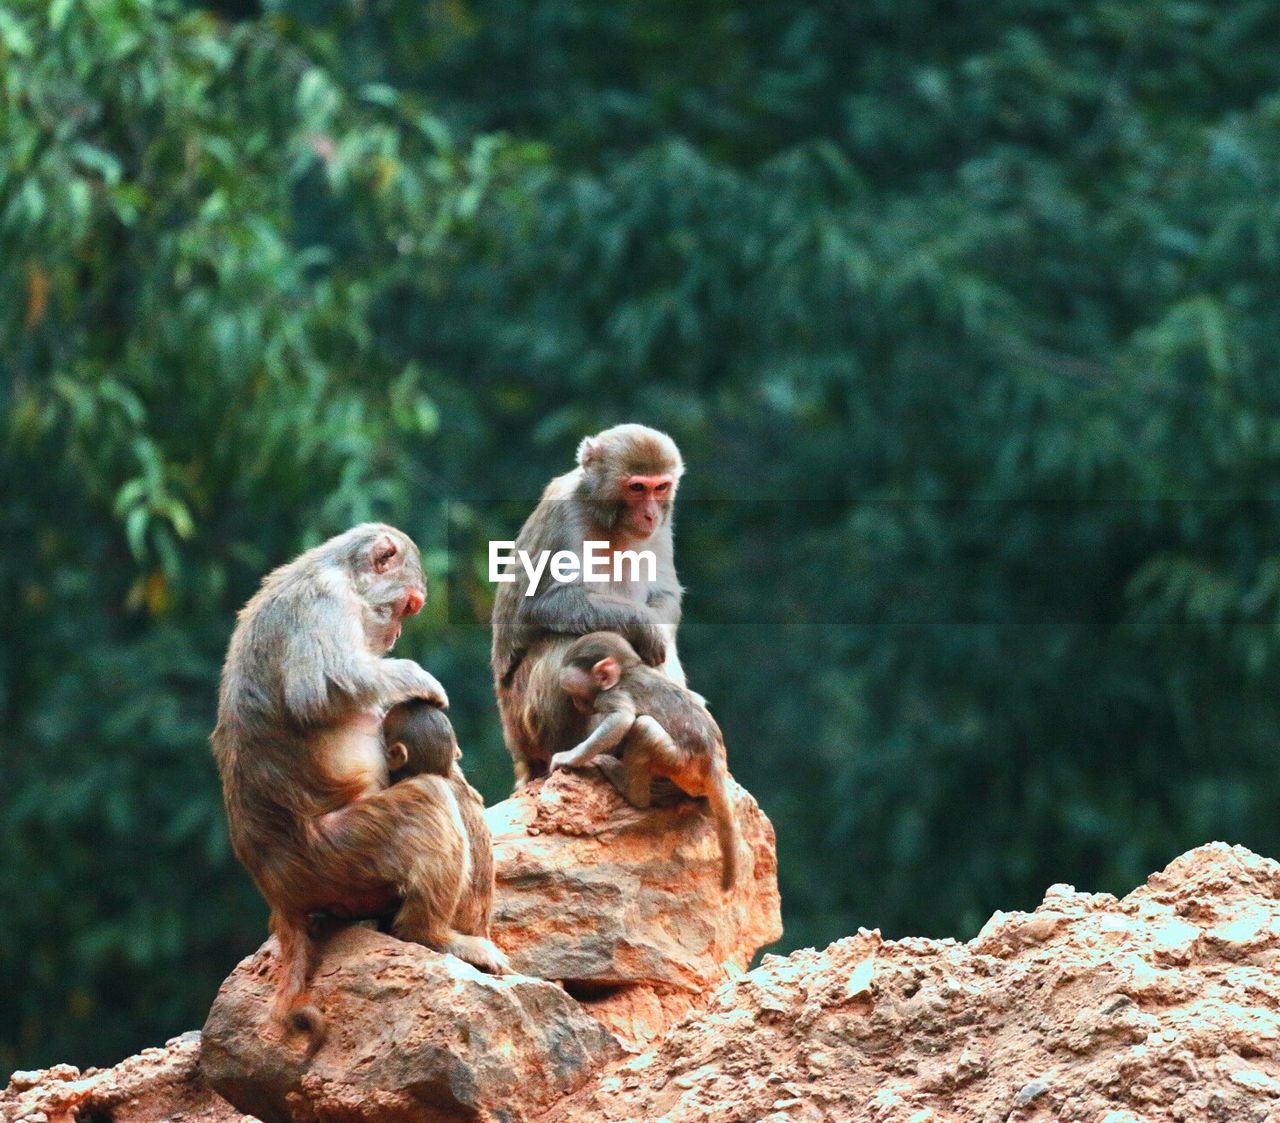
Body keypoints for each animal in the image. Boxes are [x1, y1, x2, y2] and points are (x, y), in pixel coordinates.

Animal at [491, 425, 691, 783]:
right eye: (637, 487)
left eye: (661, 487)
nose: (651, 514)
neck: (607, 518)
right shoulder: (565, 514)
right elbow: (543, 602)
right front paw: (644, 626)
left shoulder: (662, 526)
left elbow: (664, 592)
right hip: (521, 720)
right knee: (562, 642)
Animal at [547, 630, 742, 886]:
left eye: (575, 693)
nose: (577, 704)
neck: (628, 669)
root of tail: (714, 761)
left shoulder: (610, 695)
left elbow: (621, 719)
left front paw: (569, 757)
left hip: (679, 764)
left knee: (643, 727)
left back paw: (630, 790)